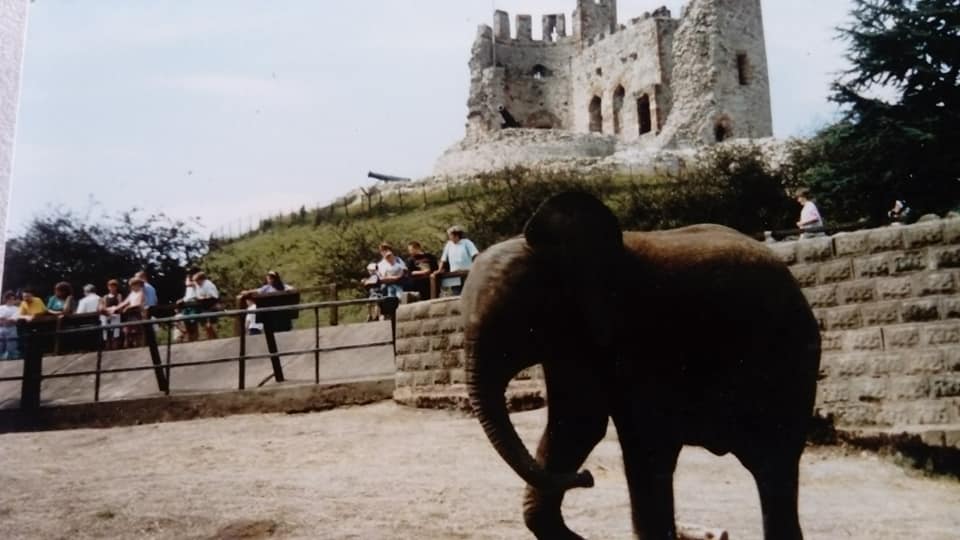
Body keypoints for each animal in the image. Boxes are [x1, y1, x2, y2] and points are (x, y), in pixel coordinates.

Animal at [462, 192, 821, 540]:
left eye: (516, 329)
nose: (588, 477)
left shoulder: (647, 327)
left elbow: (646, 438)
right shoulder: (575, 338)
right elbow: (576, 423)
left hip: (789, 357)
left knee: (773, 462)